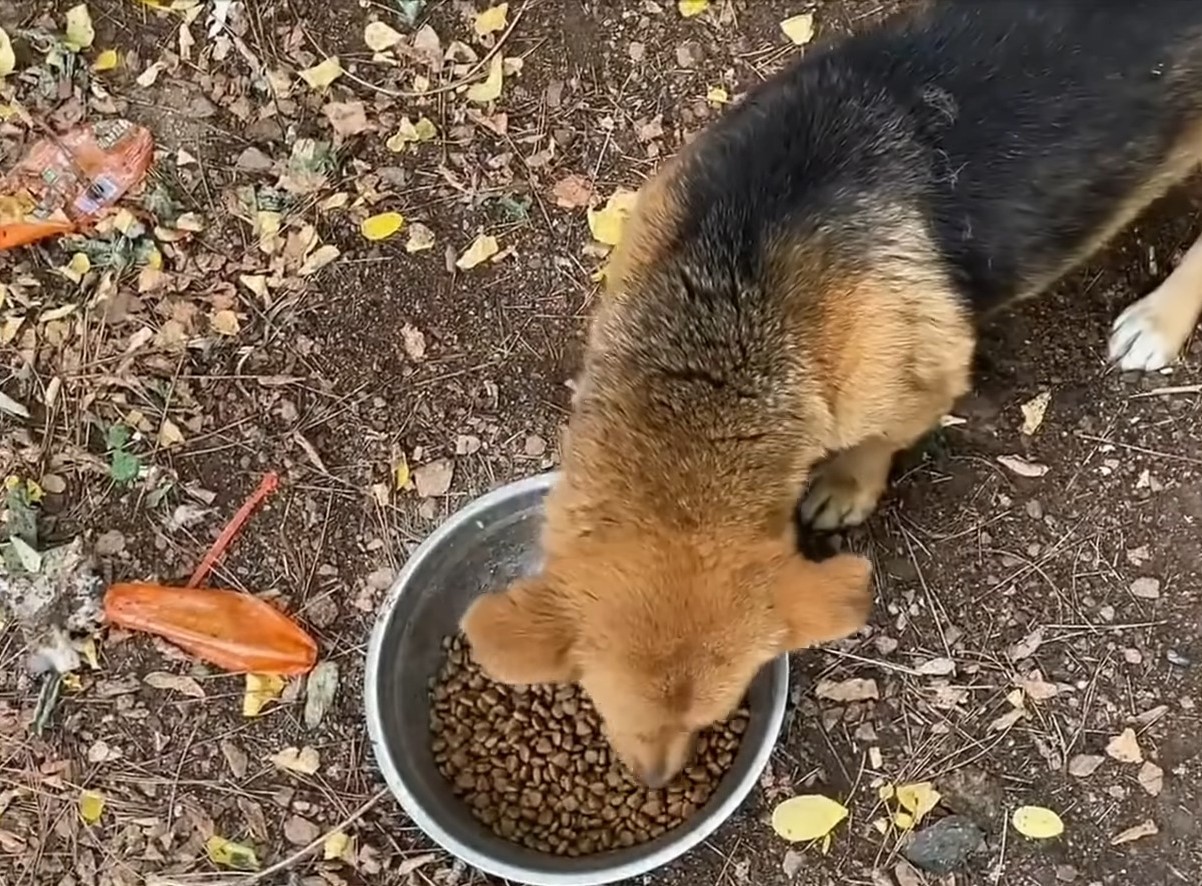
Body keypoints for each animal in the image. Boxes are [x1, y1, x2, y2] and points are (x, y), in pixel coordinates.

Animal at [461, 1, 1202, 788]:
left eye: (714, 719)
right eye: (597, 701)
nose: (655, 783)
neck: (733, 285)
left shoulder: (922, 375)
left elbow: (873, 444)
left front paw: (846, 487)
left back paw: (1160, 321)